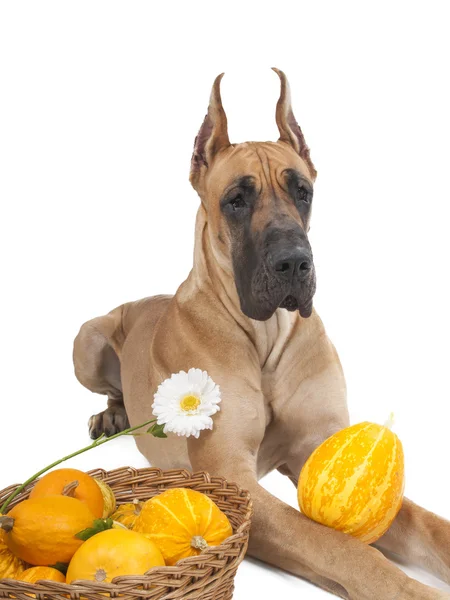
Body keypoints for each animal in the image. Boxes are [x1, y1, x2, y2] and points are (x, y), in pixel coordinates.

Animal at [74, 69, 450, 596]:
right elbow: (338, 546)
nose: (294, 261)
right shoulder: (234, 477)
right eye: (236, 200)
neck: (265, 338)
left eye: (303, 192)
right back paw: (114, 413)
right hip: (86, 341)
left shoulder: (324, 451)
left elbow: (429, 524)